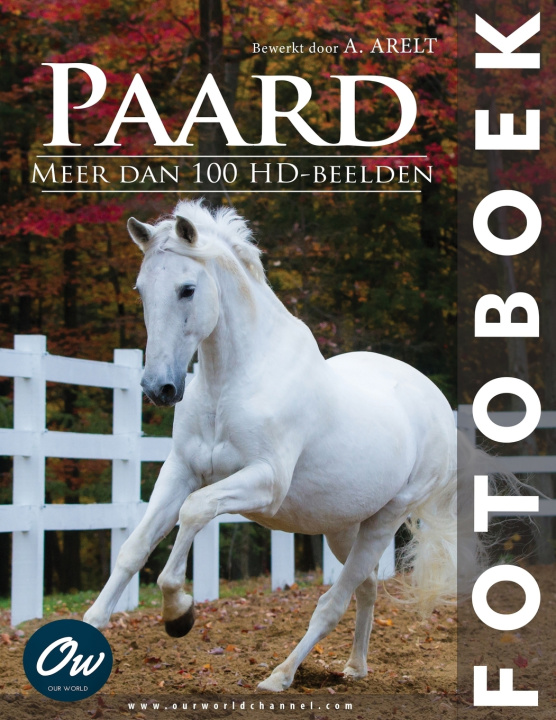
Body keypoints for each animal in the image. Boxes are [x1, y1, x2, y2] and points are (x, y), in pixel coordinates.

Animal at [83, 200, 457, 692]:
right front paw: (89, 626)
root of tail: (437, 403)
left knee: (332, 603)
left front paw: (179, 613)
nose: (157, 388)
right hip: (343, 527)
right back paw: (354, 668)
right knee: (367, 587)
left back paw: (280, 675)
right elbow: (134, 547)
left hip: (385, 520)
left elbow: (194, 512)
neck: (232, 382)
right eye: (141, 290)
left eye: (187, 289)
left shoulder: (265, 482)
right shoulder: (181, 470)